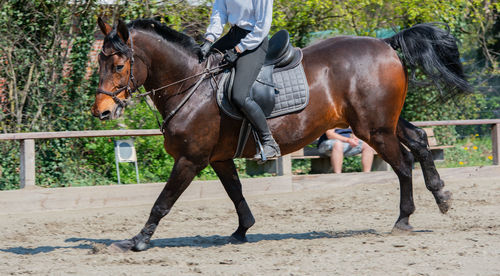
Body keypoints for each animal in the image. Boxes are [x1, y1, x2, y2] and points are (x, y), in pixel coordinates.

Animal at [92, 17, 470, 252]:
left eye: (119, 65)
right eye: (99, 63)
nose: (102, 112)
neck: (191, 84)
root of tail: (385, 43)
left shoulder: (190, 159)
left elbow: (162, 202)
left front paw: (137, 241)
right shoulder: (219, 159)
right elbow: (236, 193)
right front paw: (242, 230)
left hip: (374, 130)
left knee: (403, 163)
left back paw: (404, 219)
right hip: (382, 122)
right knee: (419, 141)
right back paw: (441, 196)